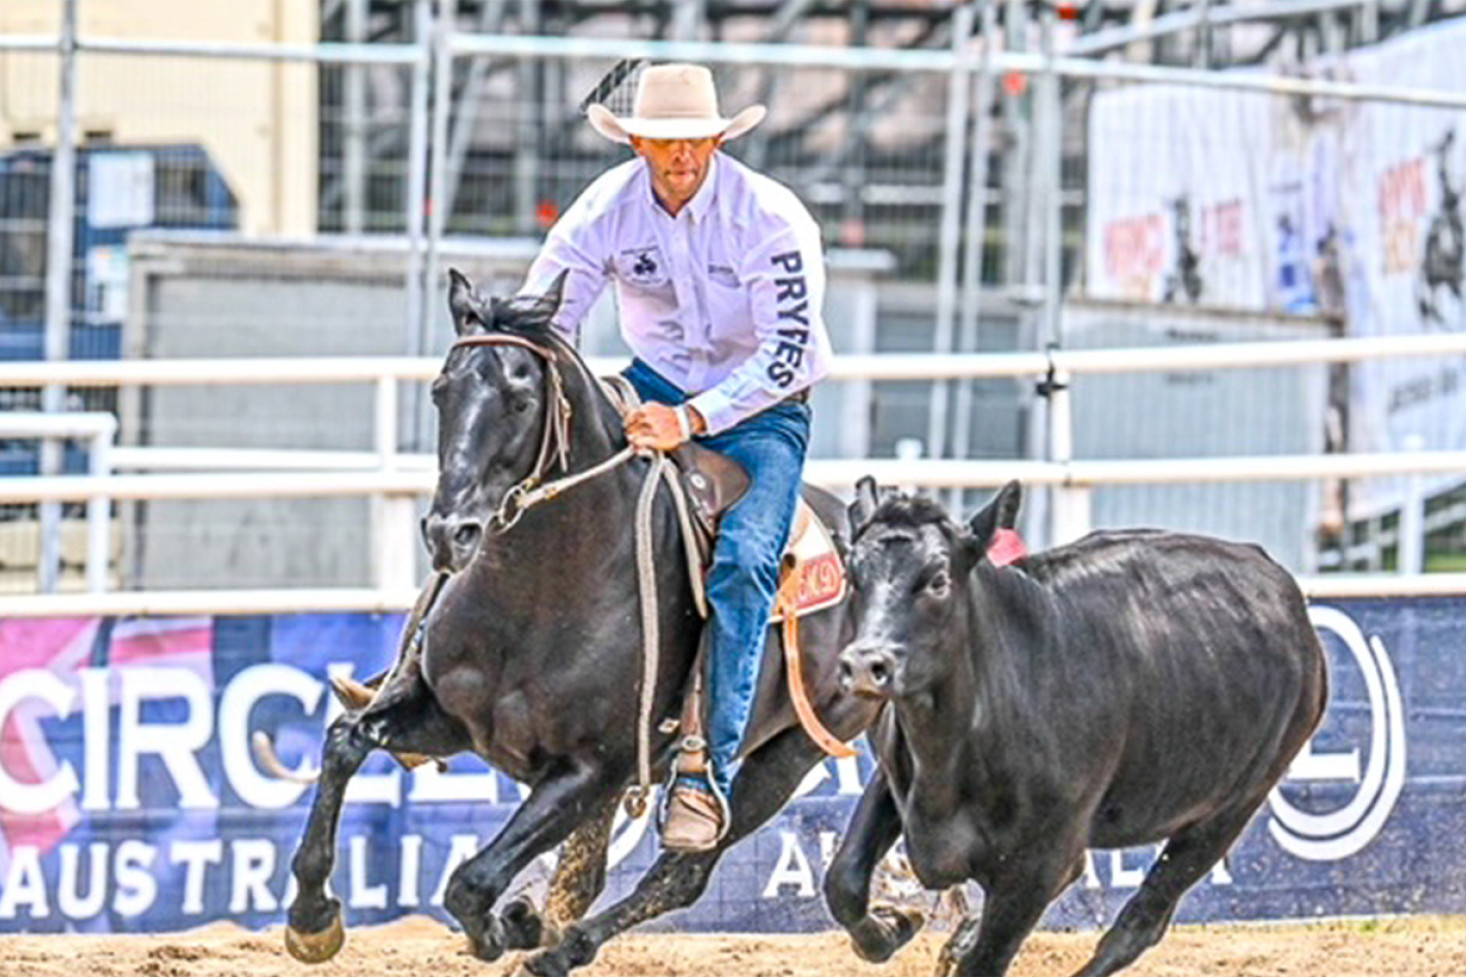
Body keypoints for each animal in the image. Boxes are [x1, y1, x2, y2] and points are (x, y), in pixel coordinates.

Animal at [282, 271, 879, 974]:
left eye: (520, 400)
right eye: (440, 391)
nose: (450, 532)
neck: (542, 593)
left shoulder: (590, 770)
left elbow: (472, 882)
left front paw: (508, 927)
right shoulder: (450, 718)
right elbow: (344, 743)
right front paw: (312, 918)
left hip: (787, 756)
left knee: (679, 875)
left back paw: (558, 945)